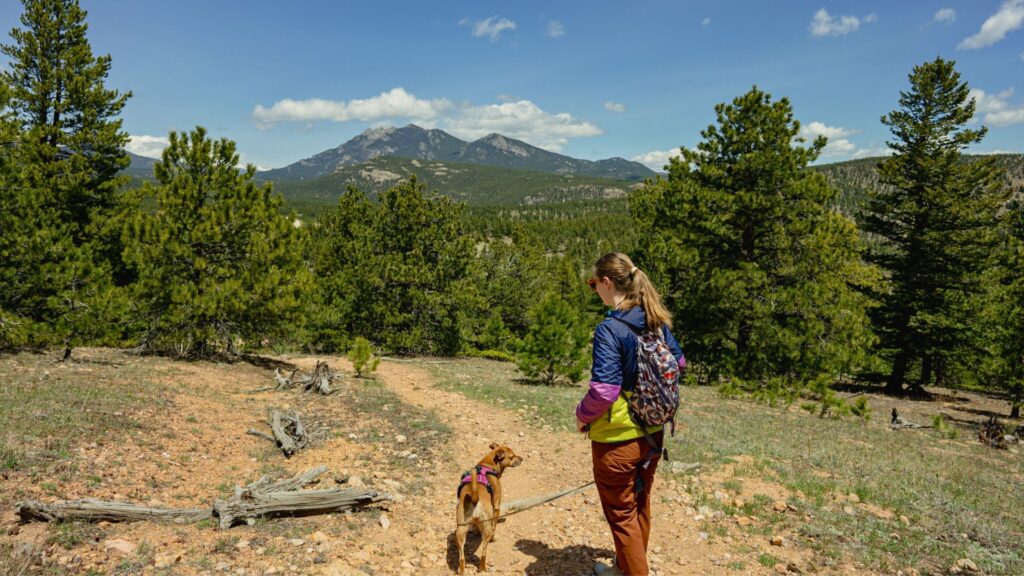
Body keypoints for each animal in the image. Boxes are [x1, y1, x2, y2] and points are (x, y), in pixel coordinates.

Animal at [456, 440, 524, 569]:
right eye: (512, 456)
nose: (522, 458)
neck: (487, 464)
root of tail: (474, 497)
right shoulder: (496, 506)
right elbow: (494, 526)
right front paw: (493, 537)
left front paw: (476, 531)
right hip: (485, 530)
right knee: (483, 553)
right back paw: (483, 568)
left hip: (460, 531)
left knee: (461, 558)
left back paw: (461, 569)